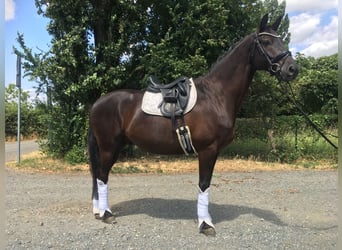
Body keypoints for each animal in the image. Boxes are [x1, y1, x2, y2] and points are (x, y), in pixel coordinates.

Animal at [87, 13, 296, 236]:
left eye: (280, 40)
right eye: (266, 41)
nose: (293, 69)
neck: (216, 95)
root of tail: (97, 103)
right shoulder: (208, 150)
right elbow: (204, 184)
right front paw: (205, 224)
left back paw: (100, 211)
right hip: (109, 147)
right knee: (102, 176)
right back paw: (106, 214)